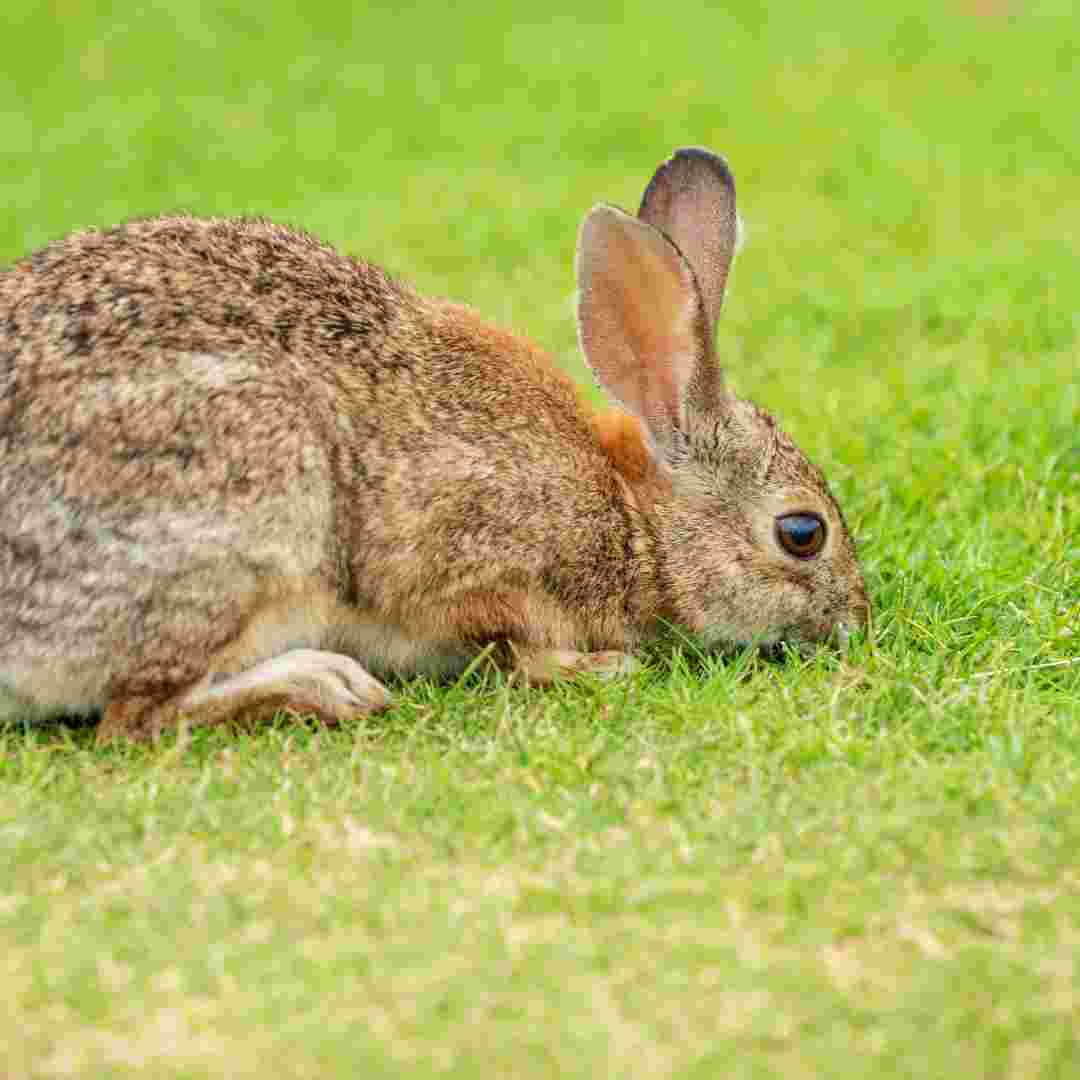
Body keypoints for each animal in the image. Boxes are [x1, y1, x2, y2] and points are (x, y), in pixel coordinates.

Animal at [0, 147, 864, 743]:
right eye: (802, 532)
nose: (855, 622)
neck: (632, 517)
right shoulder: (472, 556)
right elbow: (500, 637)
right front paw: (592, 665)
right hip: (251, 515)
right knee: (136, 716)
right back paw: (324, 685)